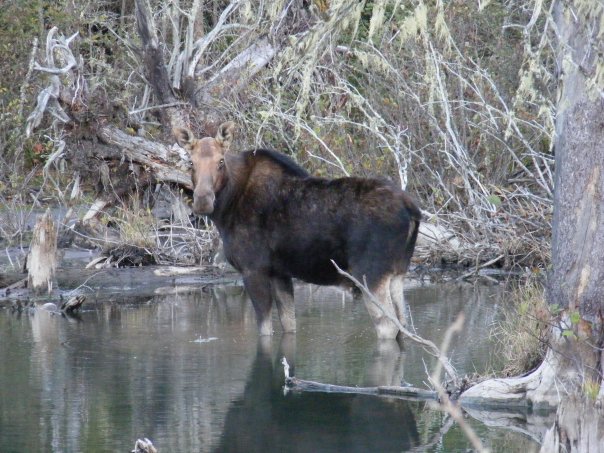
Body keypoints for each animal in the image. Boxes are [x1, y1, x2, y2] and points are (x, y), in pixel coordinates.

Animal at [175, 122, 420, 340]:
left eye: (220, 161)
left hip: (369, 273)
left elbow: (265, 330)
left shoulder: (253, 269)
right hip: (398, 272)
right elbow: (289, 324)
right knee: (403, 324)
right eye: (191, 163)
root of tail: (412, 211)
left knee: (389, 326)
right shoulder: (280, 273)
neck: (226, 210)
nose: (203, 201)